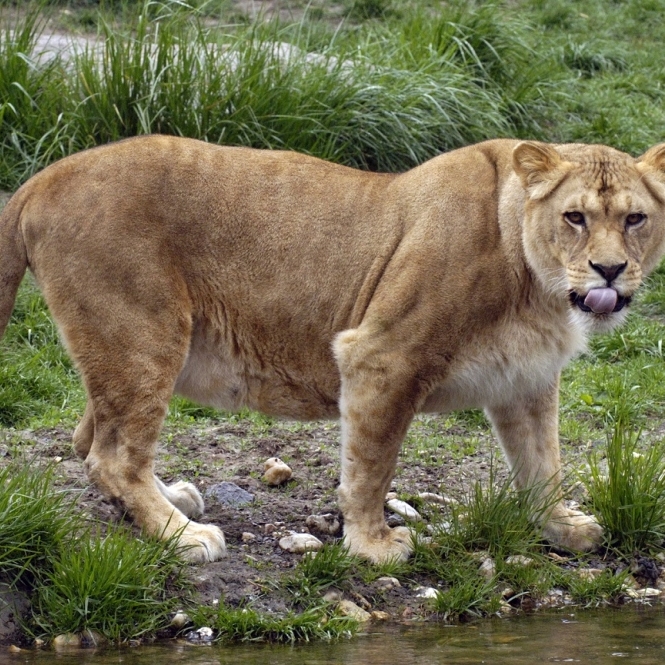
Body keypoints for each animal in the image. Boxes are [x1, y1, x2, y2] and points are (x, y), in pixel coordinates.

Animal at [1, 135, 665, 564]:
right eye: (575, 217)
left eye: (635, 219)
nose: (609, 271)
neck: (538, 286)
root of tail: (38, 180)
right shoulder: (381, 355)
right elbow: (371, 466)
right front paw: (375, 546)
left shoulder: (526, 380)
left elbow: (544, 463)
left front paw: (563, 528)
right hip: (144, 336)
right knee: (112, 455)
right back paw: (182, 535)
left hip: (127, 347)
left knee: (91, 439)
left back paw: (171, 501)